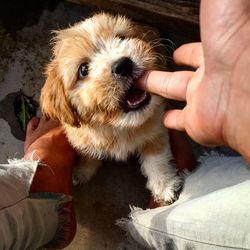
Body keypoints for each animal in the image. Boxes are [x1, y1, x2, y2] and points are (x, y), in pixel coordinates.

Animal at [40, 13, 184, 204]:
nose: (123, 65)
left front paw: (164, 186)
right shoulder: (82, 138)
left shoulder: (156, 129)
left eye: (121, 38)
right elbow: (89, 155)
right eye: (83, 70)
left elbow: (157, 159)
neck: (118, 125)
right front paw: (82, 172)